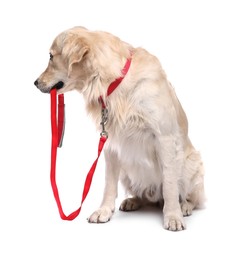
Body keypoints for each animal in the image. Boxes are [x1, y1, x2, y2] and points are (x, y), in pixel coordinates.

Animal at [34, 25, 204, 230]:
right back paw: (132, 201)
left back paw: (184, 206)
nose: (35, 83)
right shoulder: (111, 142)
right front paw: (104, 211)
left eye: (51, 56)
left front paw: (173, 216)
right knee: (145, 196)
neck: (114, 81)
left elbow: (170, 184)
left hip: (190, 164)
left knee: (191, 196)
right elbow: (109, 183)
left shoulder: (165, 137)